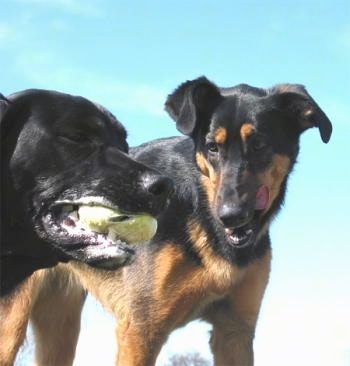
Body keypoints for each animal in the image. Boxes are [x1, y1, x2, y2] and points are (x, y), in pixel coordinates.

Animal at [2, 79, 330, 366]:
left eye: (260, 144)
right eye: (212, 147)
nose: (229, 214)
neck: (200, 206)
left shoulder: (234, 332)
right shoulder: (141, 331)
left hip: (61, 325)